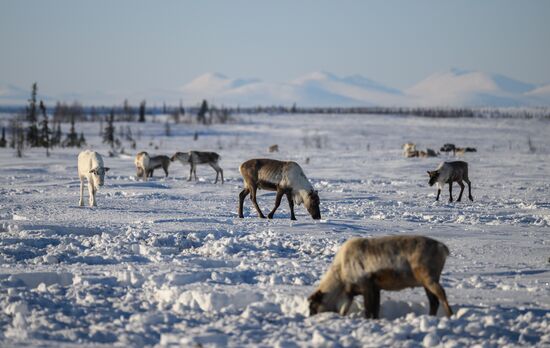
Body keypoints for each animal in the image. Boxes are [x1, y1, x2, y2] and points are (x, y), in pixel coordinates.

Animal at [308, 235, 454, 320]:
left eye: (313, 306)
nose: (309, 317)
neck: (340, 278)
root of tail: (443, 248)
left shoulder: (366, 285)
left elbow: (369, 310)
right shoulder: (376, 288)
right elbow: (375, 310)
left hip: (429, 278)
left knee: (442, 295)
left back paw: (450, 316)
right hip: (426, 283)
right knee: (434, 302)